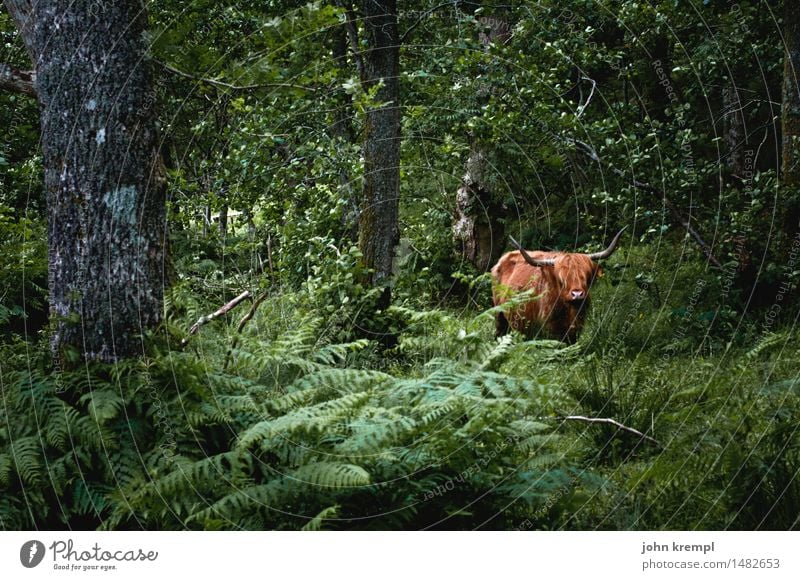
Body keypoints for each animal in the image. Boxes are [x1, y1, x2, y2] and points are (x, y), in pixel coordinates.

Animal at [490, 228, 628, 344]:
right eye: (562, 279)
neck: (570, 311)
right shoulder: (550, 326)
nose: (577, 294)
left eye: (586, 276)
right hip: (499, 313)